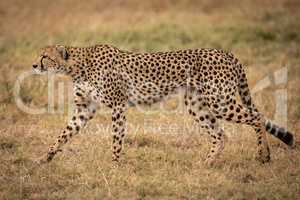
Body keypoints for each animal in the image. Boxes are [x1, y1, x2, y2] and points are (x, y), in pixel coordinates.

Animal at [31, 44, 294, 165]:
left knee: (256, 117)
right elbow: (63, 134)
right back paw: (207, 163)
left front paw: (115, 163)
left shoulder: (118, 105)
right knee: (221, 134)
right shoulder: (85, 109)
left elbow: (116, 137)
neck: (76, 66)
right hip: (197, 104)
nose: (34, 65)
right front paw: (45, 157)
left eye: (45, 56)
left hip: (219, 101)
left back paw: (263, 155)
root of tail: (224, 52)